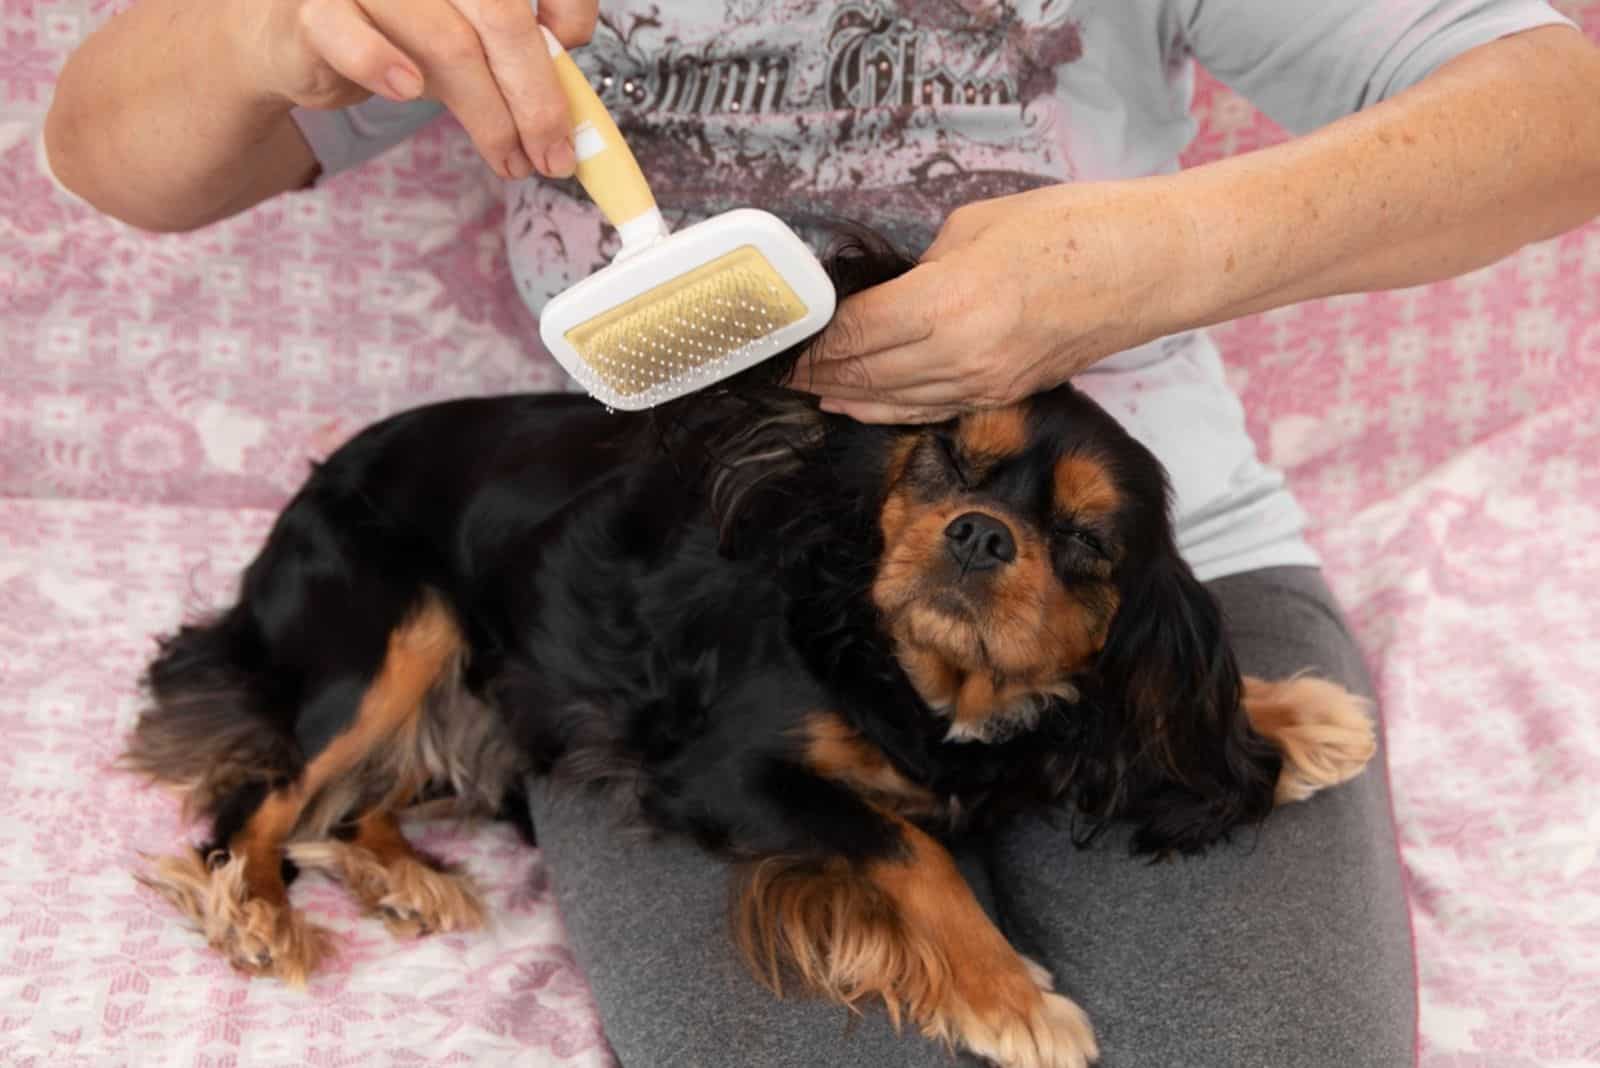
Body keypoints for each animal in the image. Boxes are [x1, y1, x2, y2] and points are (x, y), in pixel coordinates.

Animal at [128, 233, 1376, 1068]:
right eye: (945, 462)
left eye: (1081, 542)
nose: (979, 534)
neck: (912, 677)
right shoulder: (717, 773)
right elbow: (905, 847)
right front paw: (1009, 999)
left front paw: (1295, 718)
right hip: (395, 636)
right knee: (261, 798)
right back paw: (255, 910)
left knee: (344, 804)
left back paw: (405, 878)